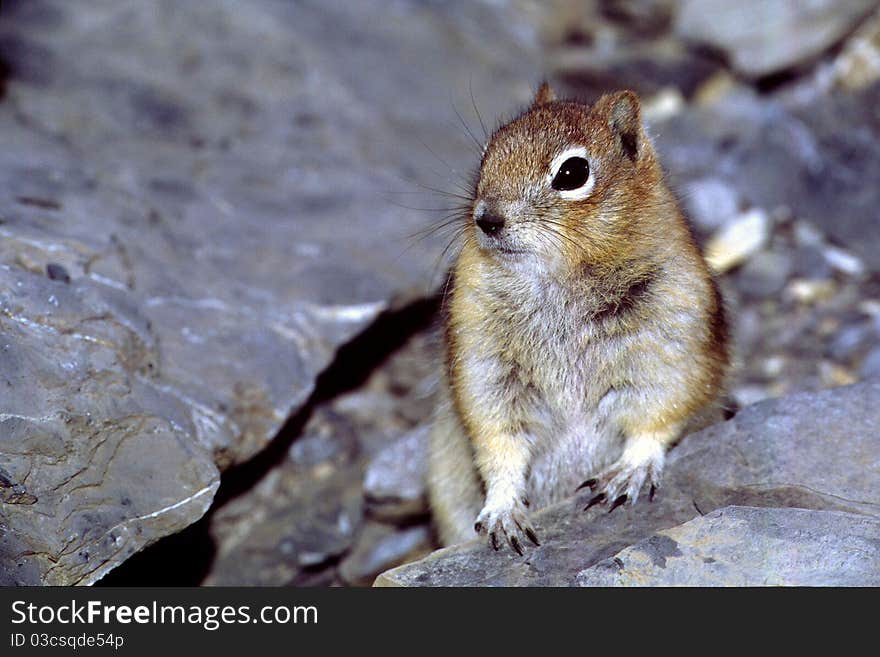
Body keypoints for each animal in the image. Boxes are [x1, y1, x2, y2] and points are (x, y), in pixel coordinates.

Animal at [426, 83, 728, 552]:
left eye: (572, 173)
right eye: (489, 152)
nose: (487, 219)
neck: (558, 276)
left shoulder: (673, 353)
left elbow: (656, 419)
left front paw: (628, 474)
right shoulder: (484, 364)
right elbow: (498, 443)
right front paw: (503, 512)